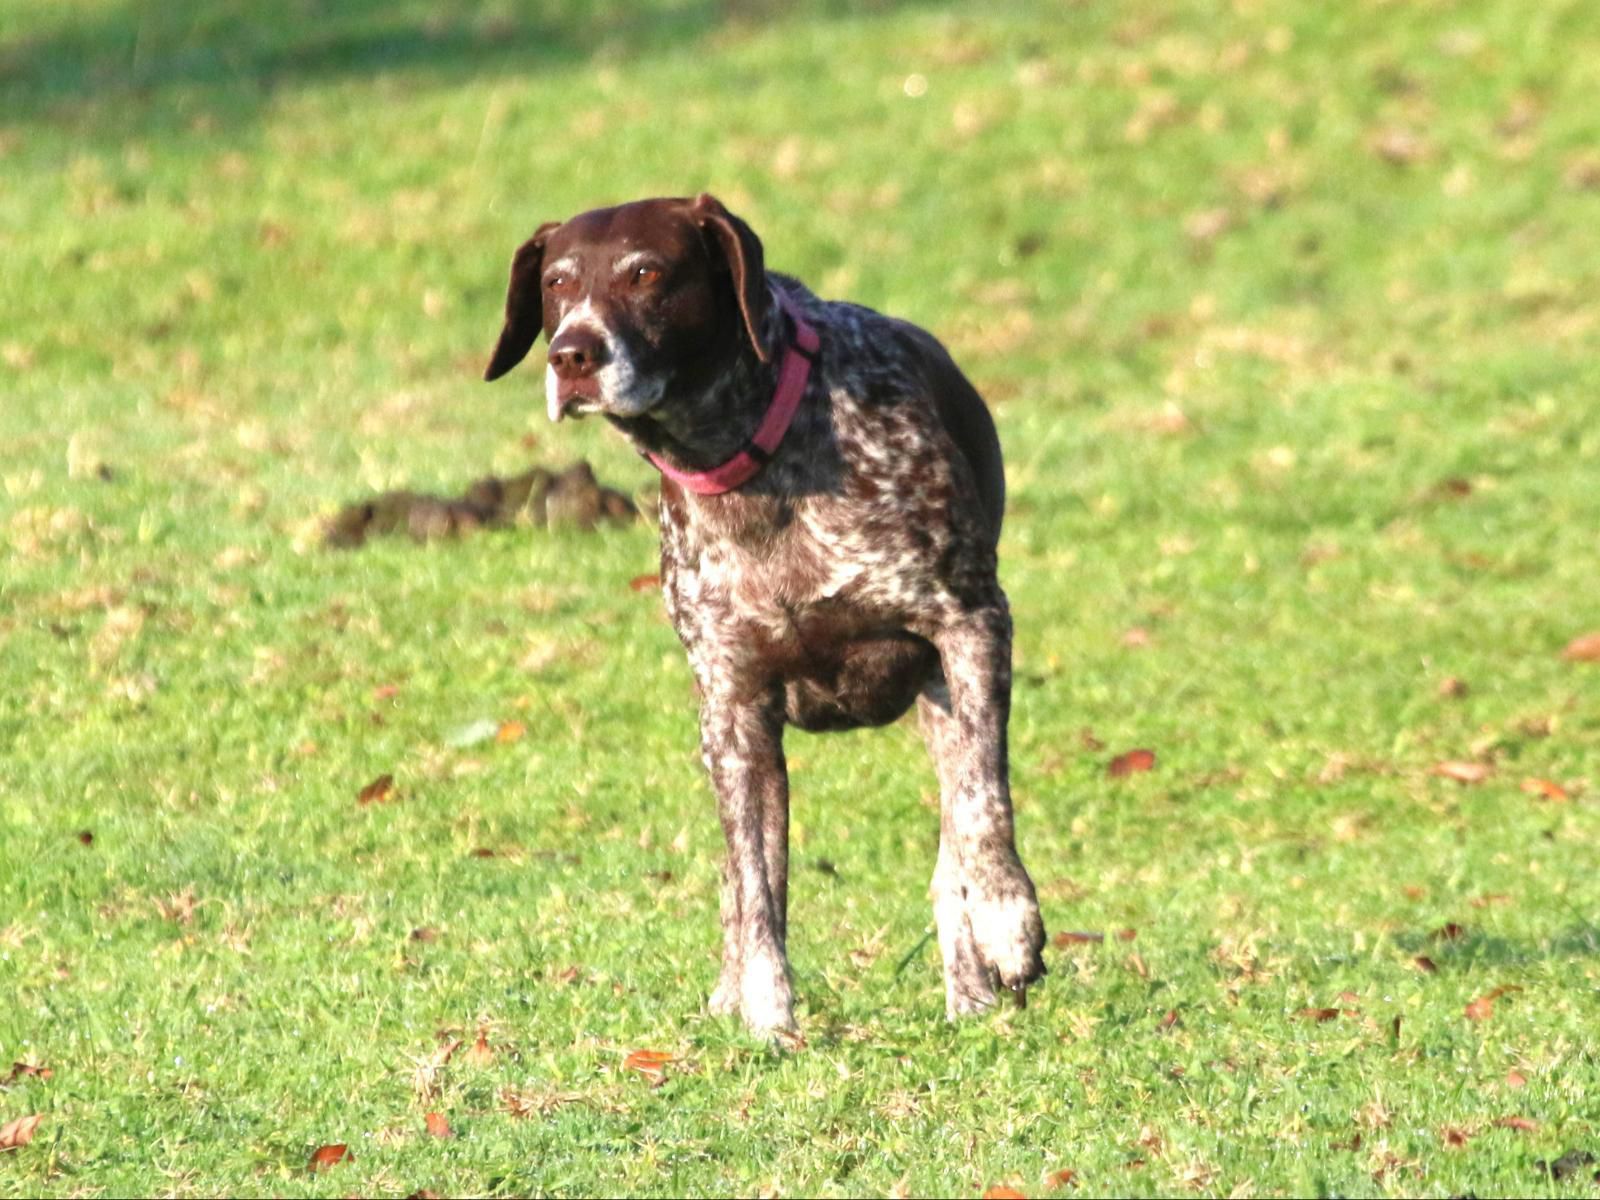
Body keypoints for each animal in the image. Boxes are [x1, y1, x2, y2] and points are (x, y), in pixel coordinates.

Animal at [480, 195, 1043, 1036]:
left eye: (646, 273)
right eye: (556, 283)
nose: (572, 355)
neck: (754, 465)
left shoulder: (971, 625)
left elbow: (981, 809)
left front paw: (1008, 924)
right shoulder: (733, 711)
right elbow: (754, 885)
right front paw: (768, 1021)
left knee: (954, 841)